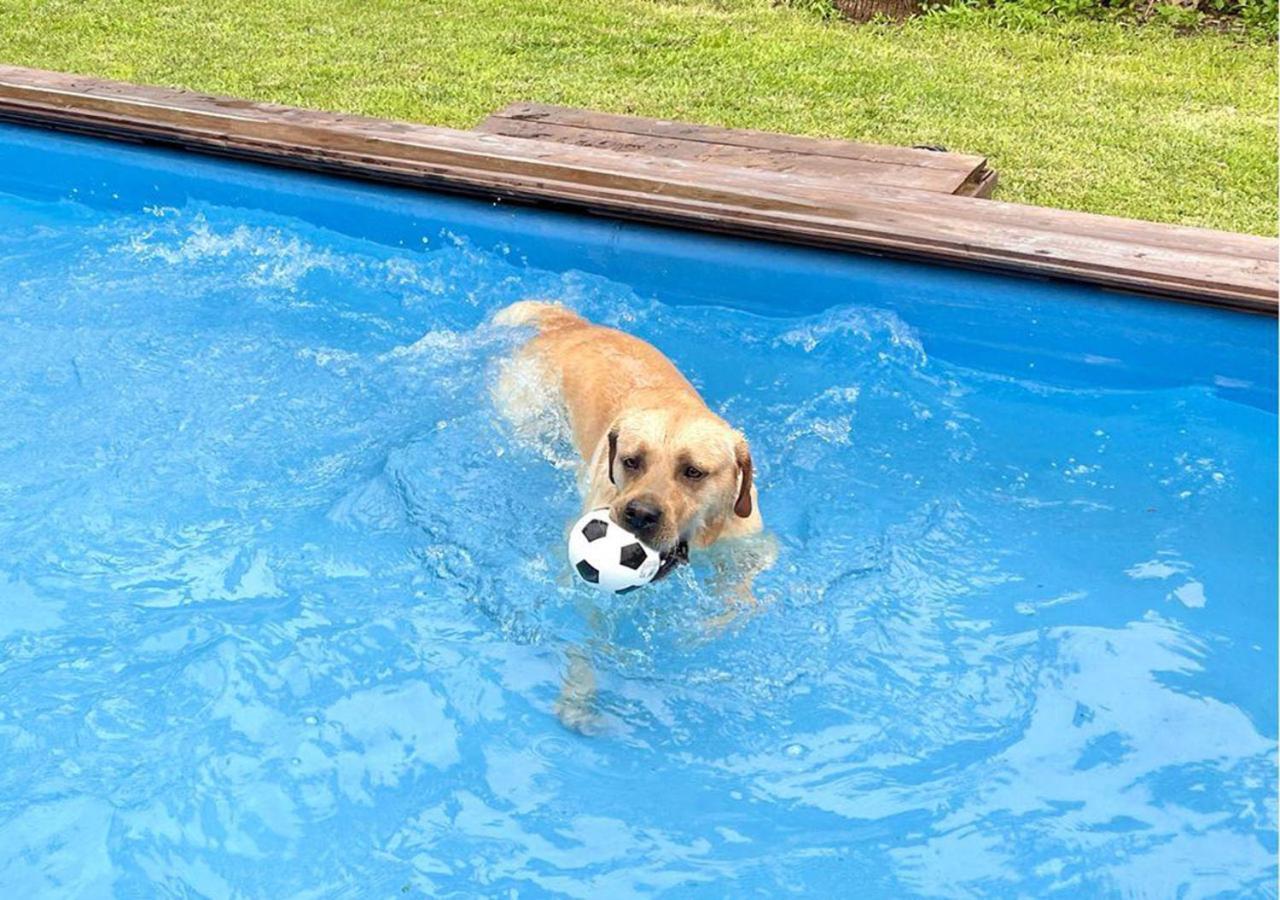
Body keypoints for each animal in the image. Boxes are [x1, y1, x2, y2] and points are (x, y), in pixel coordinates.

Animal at [488, 302, 768, 732]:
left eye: (693, 472)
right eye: (631, 461)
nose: (639, 514)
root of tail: (572, 326)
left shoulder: (748, 546)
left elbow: (737, 598)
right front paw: (580, 693)